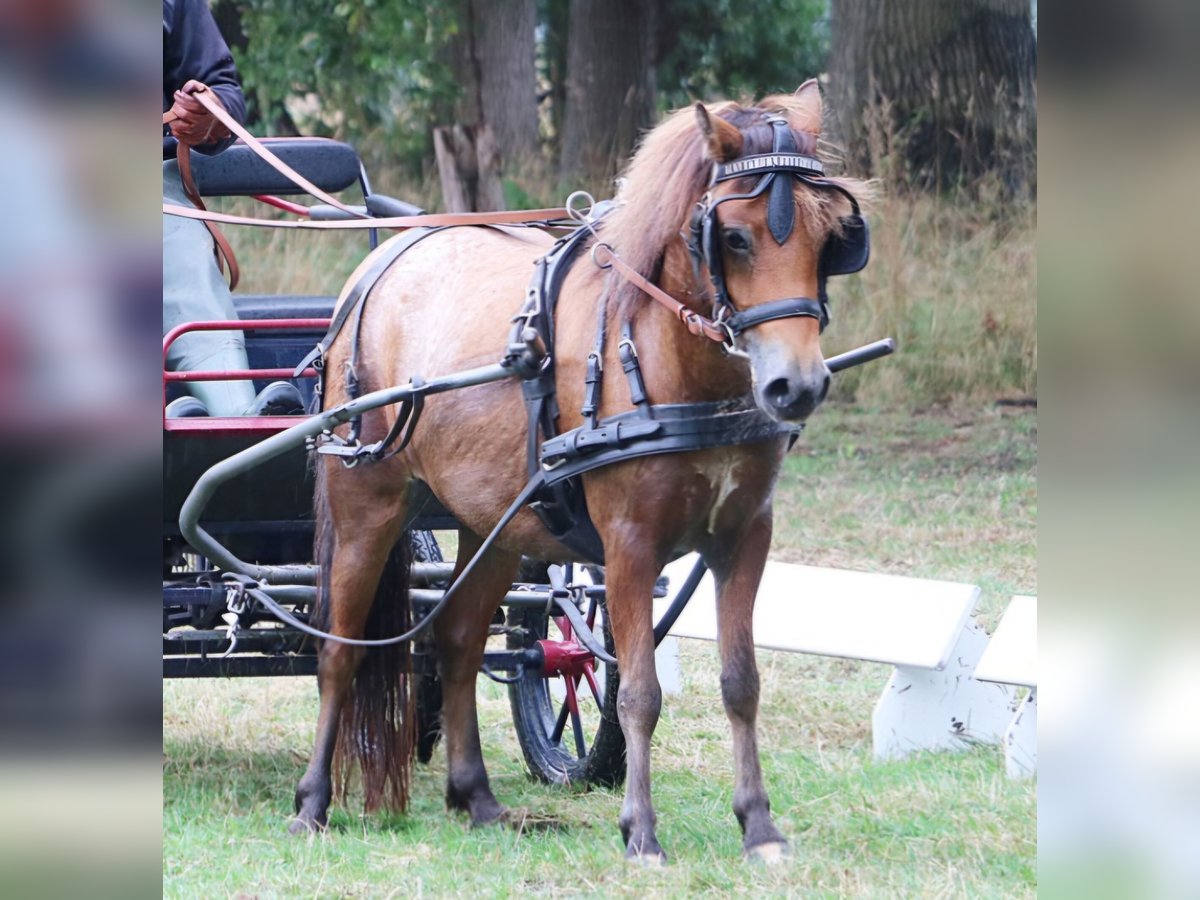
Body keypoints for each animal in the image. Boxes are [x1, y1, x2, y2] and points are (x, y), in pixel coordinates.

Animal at [290, 82, 873, 868]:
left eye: (830, 235)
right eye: (735, 237)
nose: (797, 386)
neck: (668, 361)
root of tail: (376, 270)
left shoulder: (744, 536)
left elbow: (741, 682)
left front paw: (759, 827)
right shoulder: (628, 545)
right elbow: (640, 694)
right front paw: (642, 833)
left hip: (492, 524)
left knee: (460, 642)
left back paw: (477, 798)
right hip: (367, 502)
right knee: (339, 651)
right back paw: (312, 801)